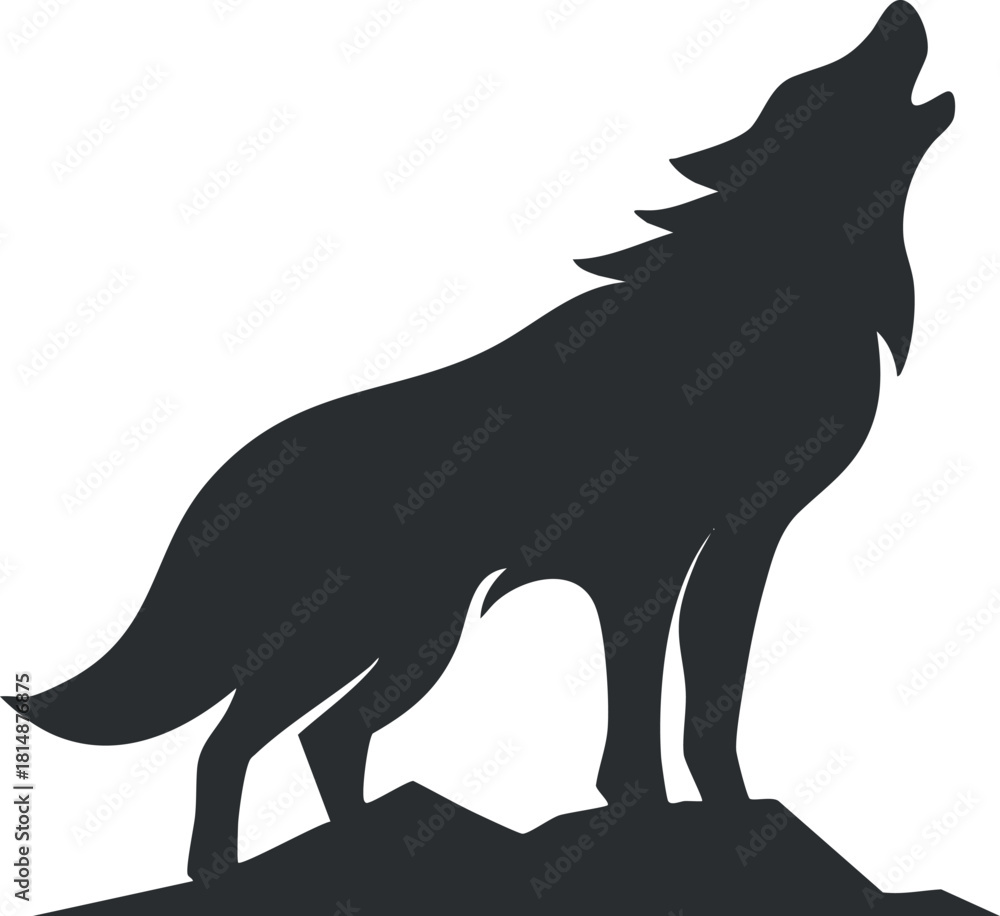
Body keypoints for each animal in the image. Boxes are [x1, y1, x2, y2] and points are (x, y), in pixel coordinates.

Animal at [5, 2, 953, 882]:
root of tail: (240, 472)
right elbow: (650, 714)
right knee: (235, 743)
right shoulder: (649, 552)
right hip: (356, 638)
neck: (764, 297)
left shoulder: (734, 541)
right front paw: (655, 821)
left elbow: (708, 701)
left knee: (323, 739)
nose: (899, 12)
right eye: (819, 83)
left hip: (415, 638)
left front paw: (718, 812)